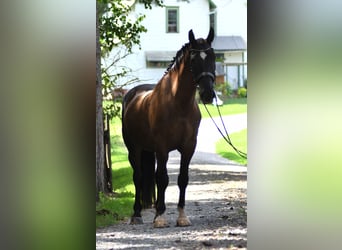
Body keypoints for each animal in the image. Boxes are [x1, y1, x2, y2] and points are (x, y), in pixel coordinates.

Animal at [121, 28, 215, 228]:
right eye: (194, 59)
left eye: (213, 56)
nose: (208, 94)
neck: (179, 104)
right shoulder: (162, 148)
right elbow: (163, 179)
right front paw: (161, 217)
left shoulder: (188, 147)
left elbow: (182, 179)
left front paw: (182, 216)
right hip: (135, 150)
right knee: (139, 177)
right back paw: (137, 214)